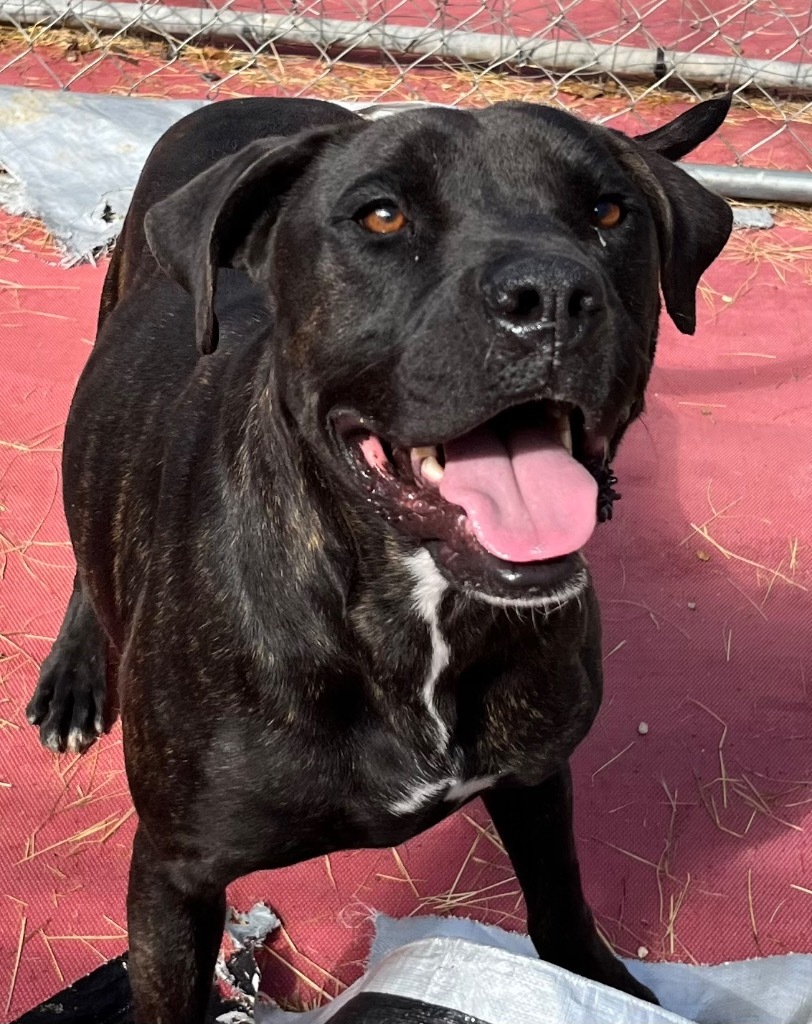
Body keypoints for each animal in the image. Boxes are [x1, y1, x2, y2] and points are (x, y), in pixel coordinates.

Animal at [28, 94, 733, 1015]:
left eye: (609, 213)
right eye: (382, 216)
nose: (551, 294)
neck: (416, 608)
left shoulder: (536, 780)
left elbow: (562, 907)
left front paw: (605, 987)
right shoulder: (174, 876)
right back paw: (75, 674)